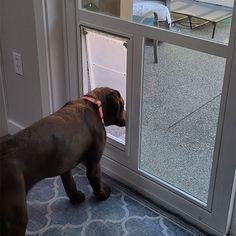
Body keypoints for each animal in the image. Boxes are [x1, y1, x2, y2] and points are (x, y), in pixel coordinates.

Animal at [0, 87, 126, 236]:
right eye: (123, 104)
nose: (126, 119)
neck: (94, 104)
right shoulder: (94, 162)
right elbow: (96, 182)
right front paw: (103, 194)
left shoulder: (65, 165)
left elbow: (69, 183)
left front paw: (75, 198)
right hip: (16, 216)